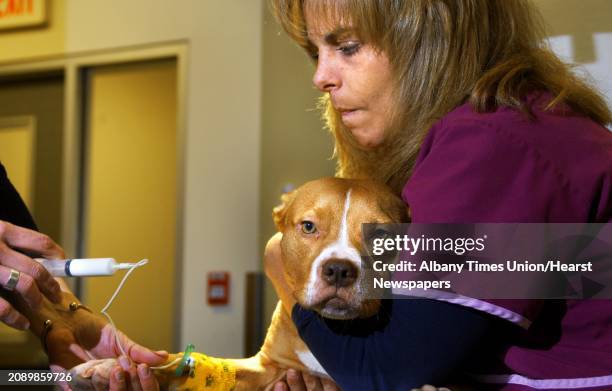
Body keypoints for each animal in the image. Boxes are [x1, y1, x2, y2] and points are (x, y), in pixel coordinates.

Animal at [69, 178, 408, 391]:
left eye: (380, 235)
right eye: (309, 226)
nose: (339, 270)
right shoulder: (268, 366)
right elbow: (198, 366)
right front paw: (109, 368)